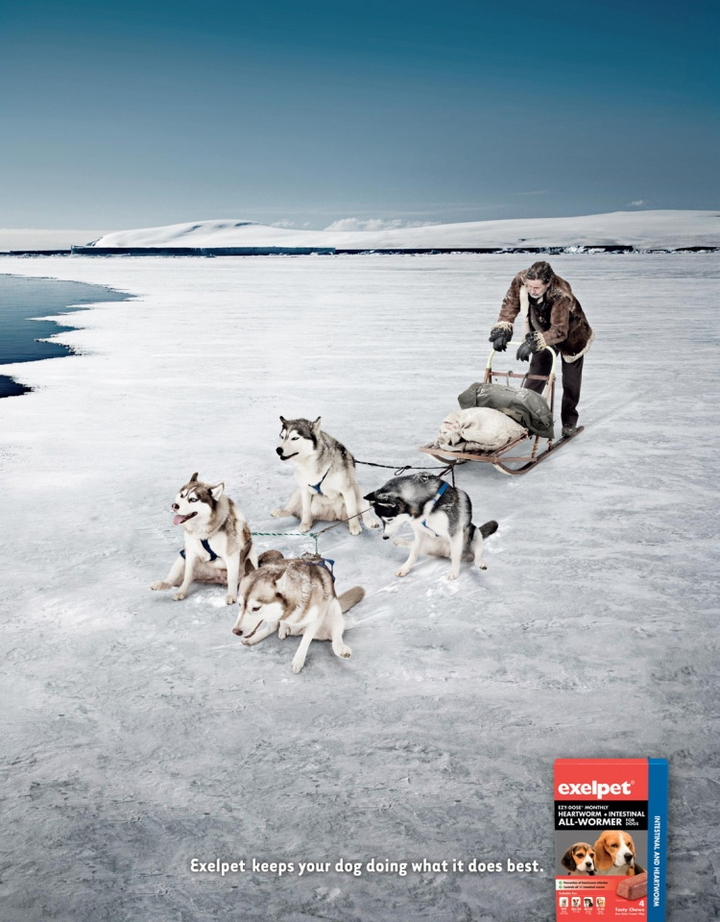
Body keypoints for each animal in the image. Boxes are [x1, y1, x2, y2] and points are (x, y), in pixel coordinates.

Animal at [150, 474, 258, 604]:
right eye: (182, 495)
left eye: (193, 499)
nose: (174, 506)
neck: (202, 532)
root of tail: (217, 578)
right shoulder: (191, 553)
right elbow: (187, 576)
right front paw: (182, 592)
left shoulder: (231, 554)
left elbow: (232, 578)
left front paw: (231, 595)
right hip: (182, 557)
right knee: (174, 579)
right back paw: (163, 583)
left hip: (250, 559)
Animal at [232, 548, 366, 672]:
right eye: (239, 604)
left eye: (256, 608)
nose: (236, 631)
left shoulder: (316, 619)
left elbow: (305, 640)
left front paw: (298, 660)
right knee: (272, 627)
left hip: (333, 609)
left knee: (336, 634)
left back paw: (340, 648)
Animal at [362, 470, 498, 580]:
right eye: (381, 520)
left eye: (389, 519)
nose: (384, 537)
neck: (426, 506)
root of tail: (445, 553)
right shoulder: (419, 531)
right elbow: (413, 552)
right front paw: (405, 568)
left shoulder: (454, 532)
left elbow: (456, 555)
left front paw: (453, 572)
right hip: (430, 542)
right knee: (414, 546)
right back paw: (400, 542)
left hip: (475, 533)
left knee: (476, 554)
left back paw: (480, 563)